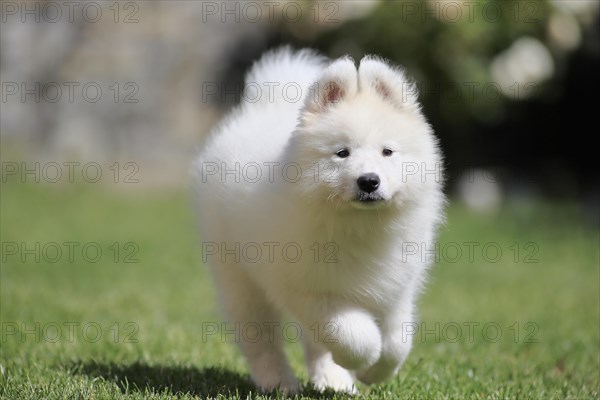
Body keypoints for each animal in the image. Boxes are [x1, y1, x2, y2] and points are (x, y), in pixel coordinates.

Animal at [193, 47, 446, 394]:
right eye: (342, 153)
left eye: (387, 152)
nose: (369, 181)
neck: (360, 225)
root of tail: (264, 107)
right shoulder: (309, 290)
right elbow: (355, 334)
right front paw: (362, 359)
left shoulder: (397, 286)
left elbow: (397, 342)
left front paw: (373, 372)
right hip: (238, 277)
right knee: (260, 339)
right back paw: (279, 383)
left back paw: (332, 381)